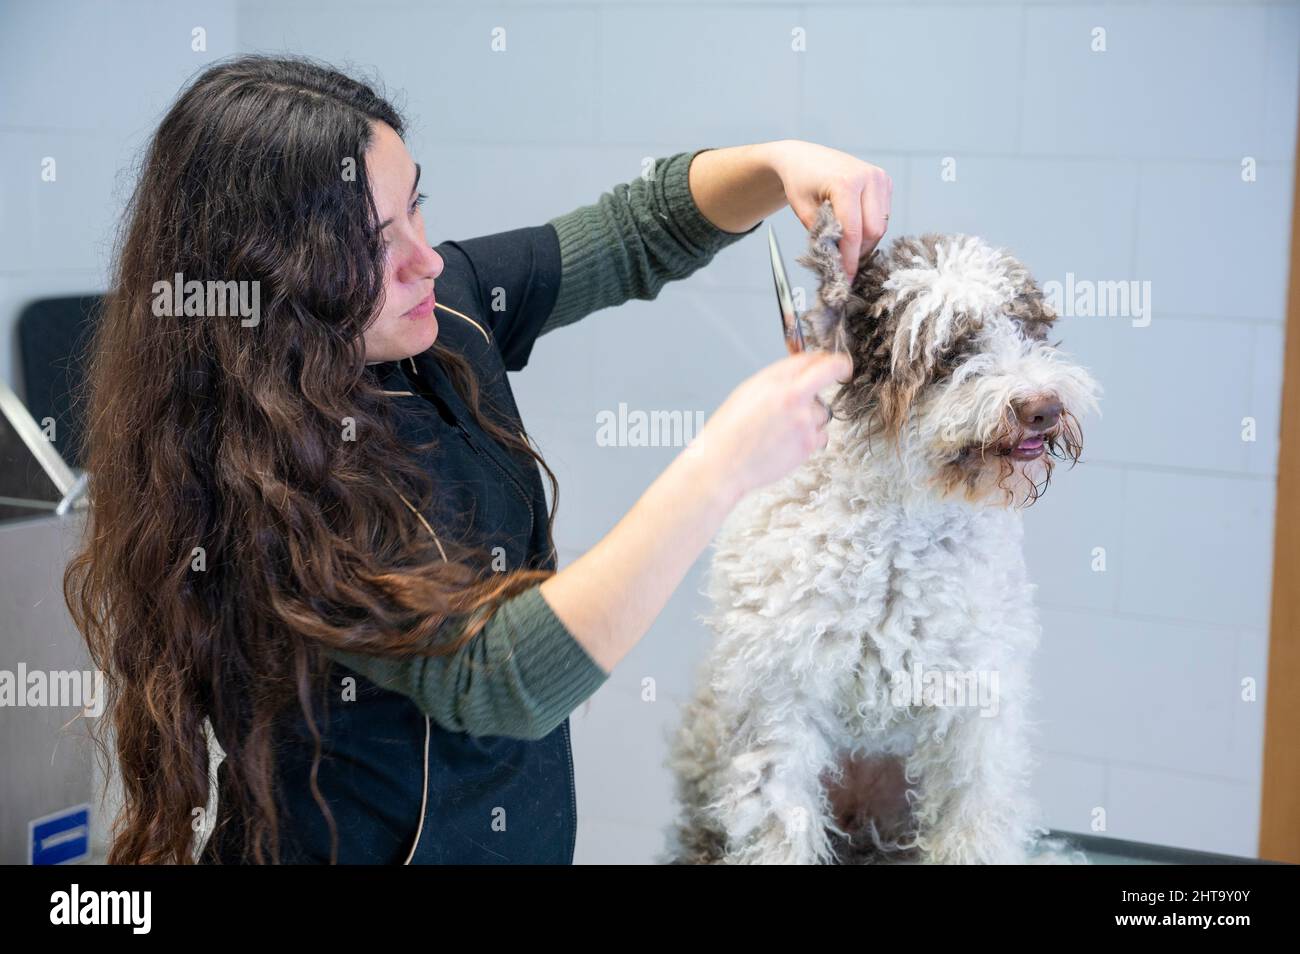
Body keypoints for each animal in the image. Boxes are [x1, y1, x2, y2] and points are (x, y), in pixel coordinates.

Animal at [665, 201, 1102, 868]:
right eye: (948, 350)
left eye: (1027, 328)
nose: (1043, 408)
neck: (902, 529)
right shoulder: (780, 702)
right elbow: (782, 824)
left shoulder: (977, 705)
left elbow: (974, 814)